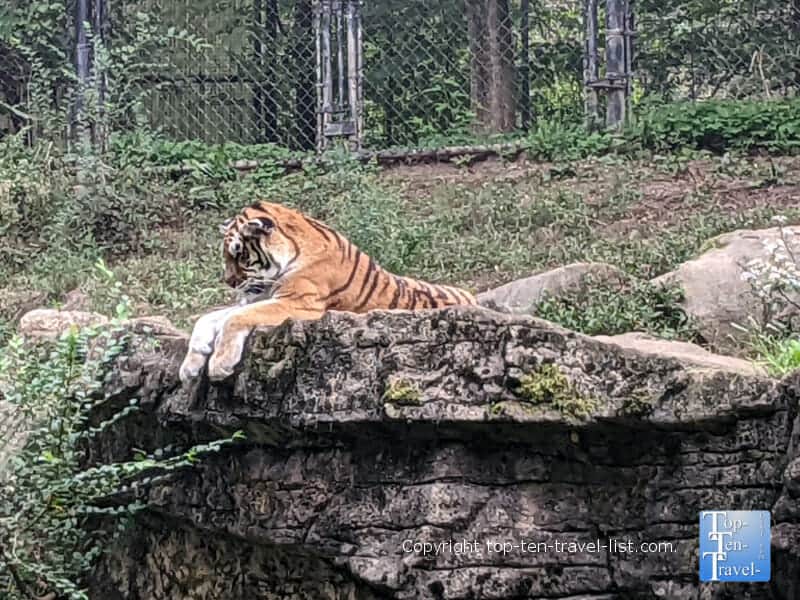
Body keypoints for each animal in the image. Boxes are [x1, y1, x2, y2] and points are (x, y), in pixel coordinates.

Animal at [179, 200, 477, 383]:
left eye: (239, 255)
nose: (228, 281)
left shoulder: (298, 303)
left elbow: (234, 318)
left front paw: (219, 364)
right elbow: (208, 318)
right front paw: (189, 368)